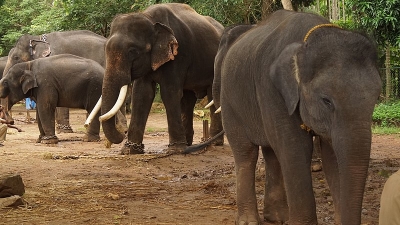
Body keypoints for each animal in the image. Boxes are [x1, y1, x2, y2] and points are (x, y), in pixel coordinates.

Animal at [98, 3, 225, 155]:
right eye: (105, 49)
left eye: (133, 51)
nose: (123, 132)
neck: (149, 17)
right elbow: (142, 94)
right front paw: (130, 150)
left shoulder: (178, 54)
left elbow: (169, 93)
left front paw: (176, 150)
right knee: (187, 99)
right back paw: (189, 144)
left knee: (212, 95)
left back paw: (214, 143)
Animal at [212, 9, 382, 224]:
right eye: (326, 100)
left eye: (376, 98)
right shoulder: (271, 89)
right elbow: (295, 148)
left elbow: (332, 155)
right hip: (230, 102)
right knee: (246, 153)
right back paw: (249, 221)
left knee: (272, 154)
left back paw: (278, 217)